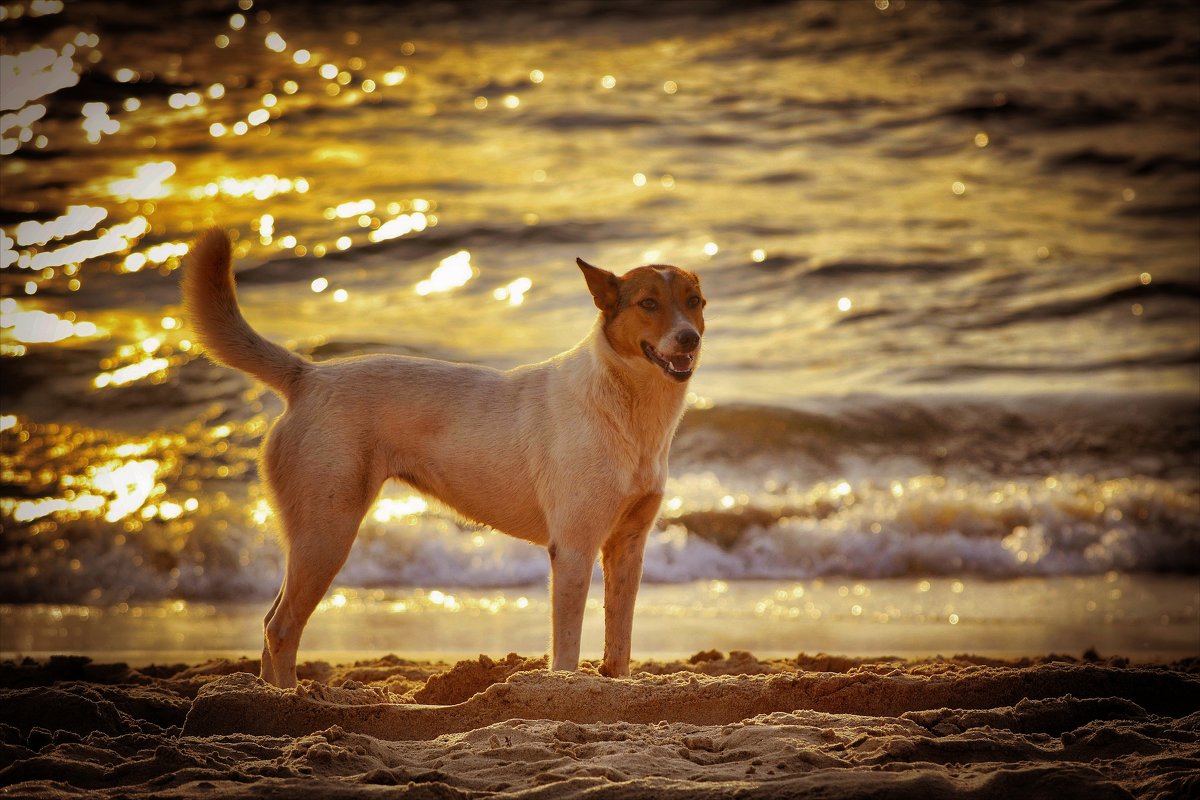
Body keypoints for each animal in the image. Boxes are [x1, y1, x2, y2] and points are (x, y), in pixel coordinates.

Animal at [178, 230, 700, 690]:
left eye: (695, 301)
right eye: (648, 304)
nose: (690, 338)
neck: (627, 407)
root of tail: (307, 376)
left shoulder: (628, 546)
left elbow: (620, 640)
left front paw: (617, 688)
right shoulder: (573, 548)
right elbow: (567, 648)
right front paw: (566, 689)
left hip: (317, 536)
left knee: (271, 621)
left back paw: (266, 695)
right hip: (327, 533)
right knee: (281, 626)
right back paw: (291, 699)